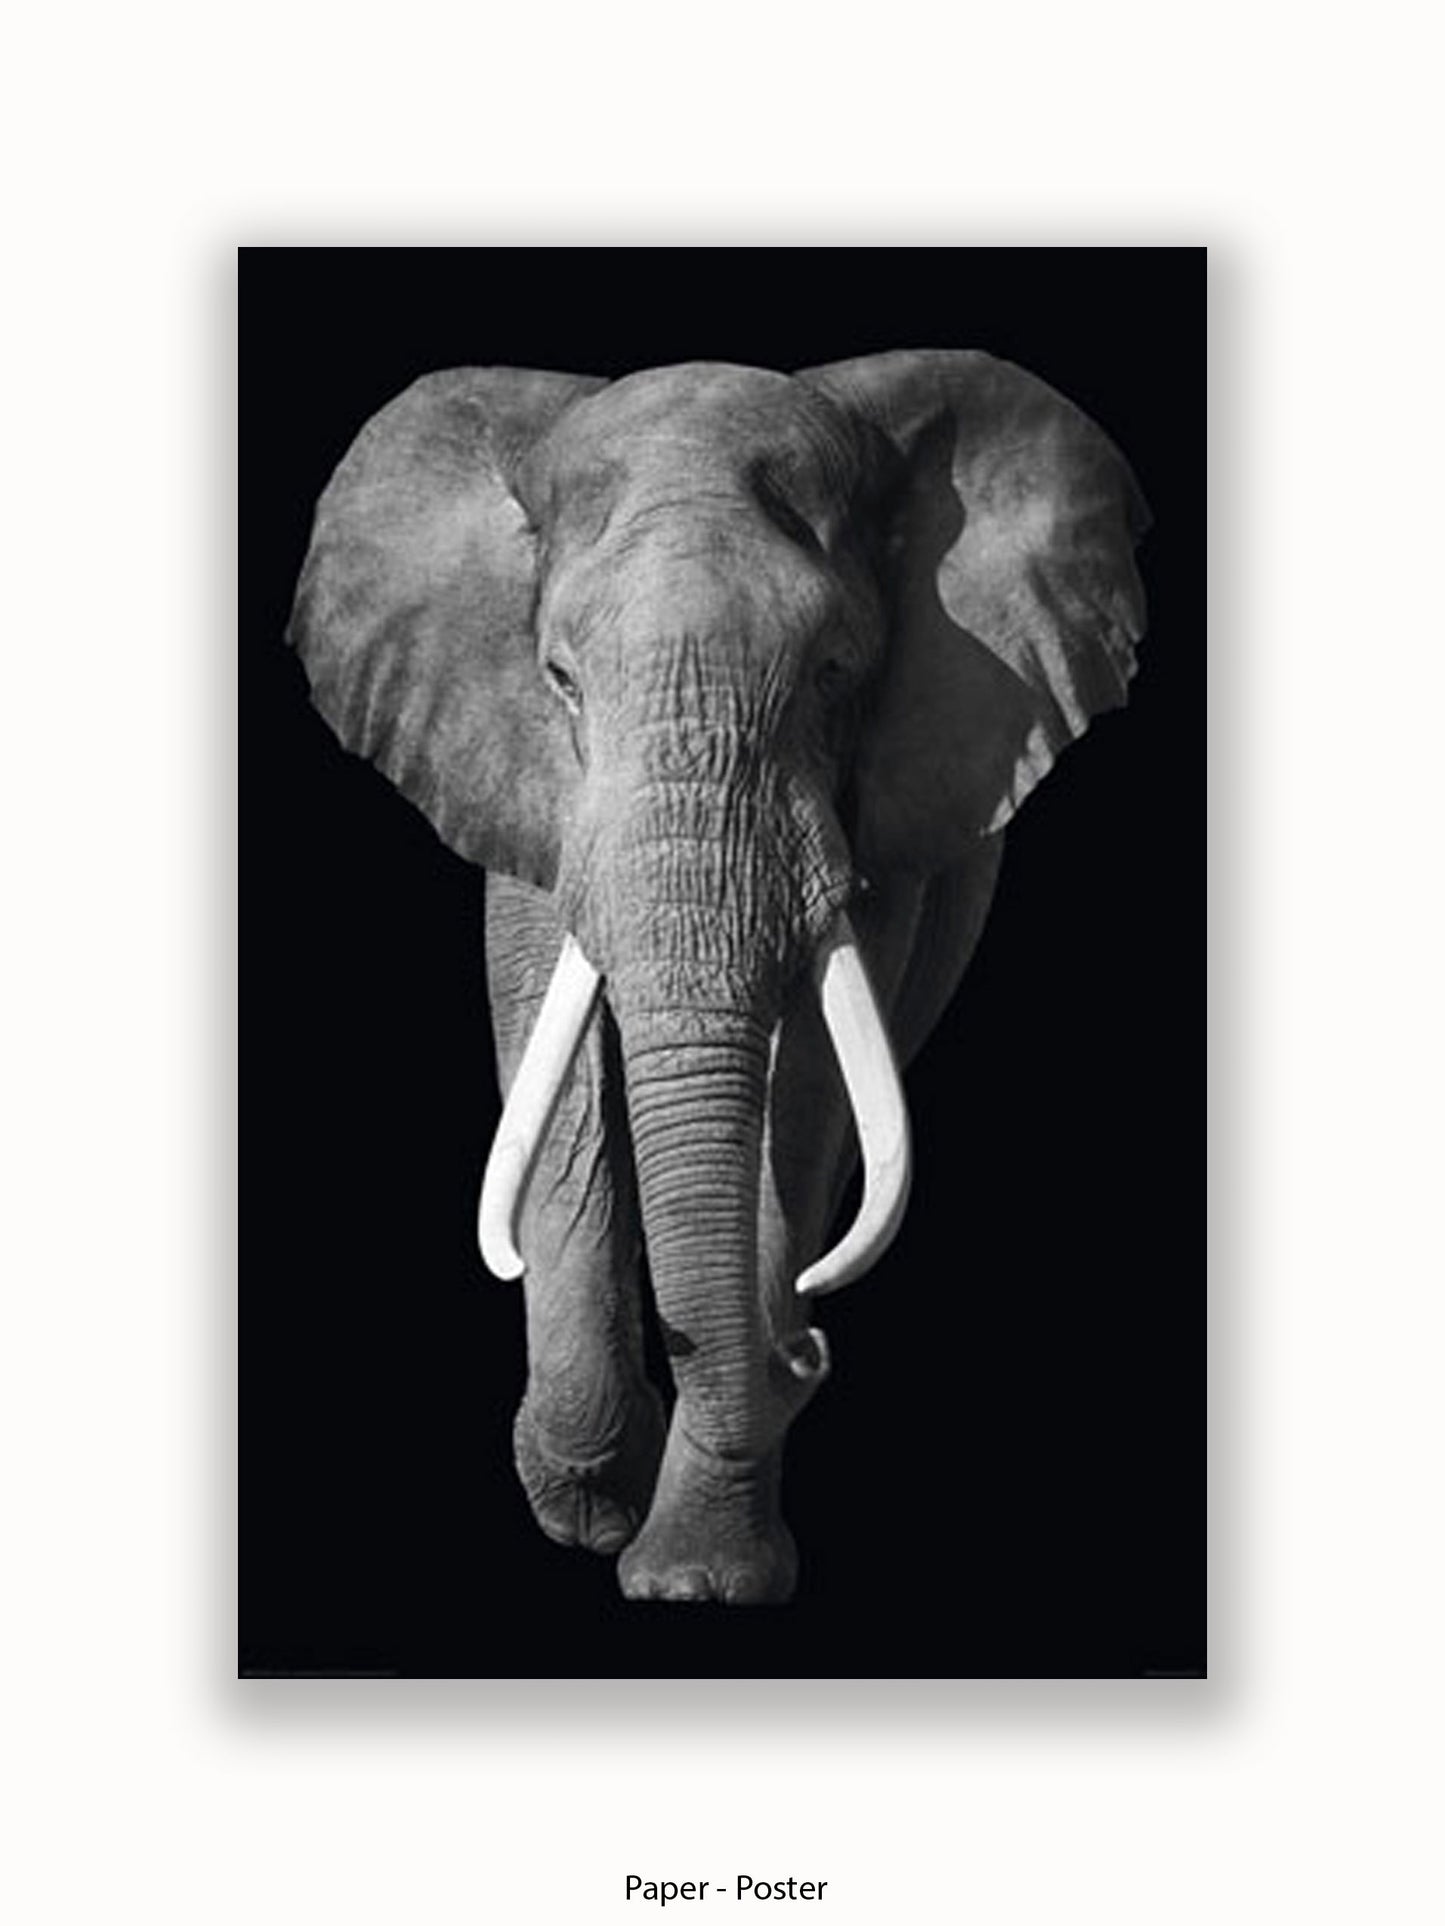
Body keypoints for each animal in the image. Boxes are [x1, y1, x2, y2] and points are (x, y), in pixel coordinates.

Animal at [286, 350, 1148, 1605]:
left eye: (836, 671)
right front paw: (592, 1502)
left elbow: (804, 1091)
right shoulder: (521, 777)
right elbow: (559, 1065)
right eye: (559, 678)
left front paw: (695, 1576)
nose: (806, 1350)